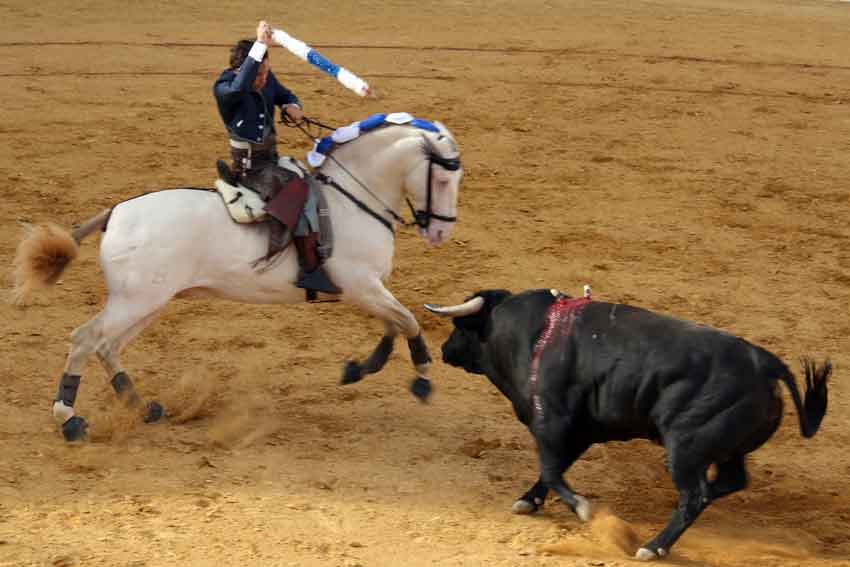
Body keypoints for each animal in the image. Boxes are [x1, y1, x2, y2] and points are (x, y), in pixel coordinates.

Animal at [9, 120, 460, 442]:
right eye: (442, 180)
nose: (440, 232)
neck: (352, 199)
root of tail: (116, 212)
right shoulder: (360, 285)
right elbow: (408, 321)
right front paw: (422, 379)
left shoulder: (369, 289)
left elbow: (393, 324)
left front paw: (358, 369)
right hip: (135, 301)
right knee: (85, 340)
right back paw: (70, 420)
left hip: (147, 302)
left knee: (106, 346)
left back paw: (142, 408)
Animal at [424, 290, 828, 560]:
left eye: (461, 327)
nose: (443, 349)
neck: (532, 335)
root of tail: (766, 363)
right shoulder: (581, 430)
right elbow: (552, 470)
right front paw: (529, 500)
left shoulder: (553, 422)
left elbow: (552, 470)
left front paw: (583, 509)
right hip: (724, 449)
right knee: (729, 481)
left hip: (684, 447)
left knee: (694, 495)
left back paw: (653, 546)